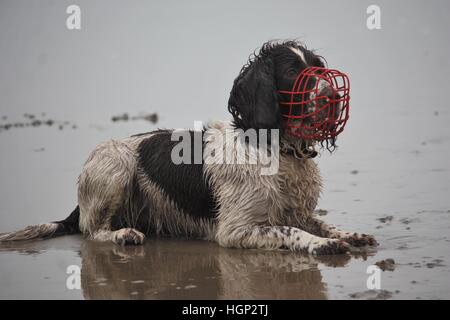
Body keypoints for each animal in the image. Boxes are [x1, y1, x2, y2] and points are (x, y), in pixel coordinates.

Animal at [0, 40, 378, 255]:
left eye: (318, 68)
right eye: (291, 73)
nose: (332, 96)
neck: (275, 149)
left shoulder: (297, 211)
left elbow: (318, 222)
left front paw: (348, 233)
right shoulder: (236, 230)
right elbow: (293, 231)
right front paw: (321, 244)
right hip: (114, 161)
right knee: (89, 231)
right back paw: (123, 234)